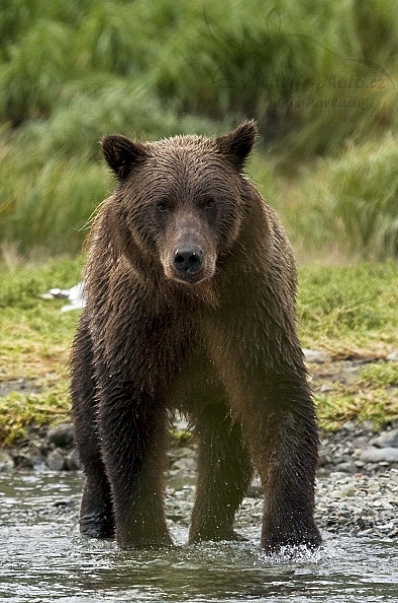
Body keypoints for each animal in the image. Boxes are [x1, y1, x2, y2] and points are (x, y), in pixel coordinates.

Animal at [70, 120, 320, 556]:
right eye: (162, 203)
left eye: (209, 201)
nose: (187, 256)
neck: (192, 298)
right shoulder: (137, 321)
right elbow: (128, 418)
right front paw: (145, 536)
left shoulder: (249, 310)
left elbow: (275, 397)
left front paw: (291, 534)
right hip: (91, 339)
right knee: (90, 428)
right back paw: (96, 520)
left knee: (225, 450)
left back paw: (214, 529)